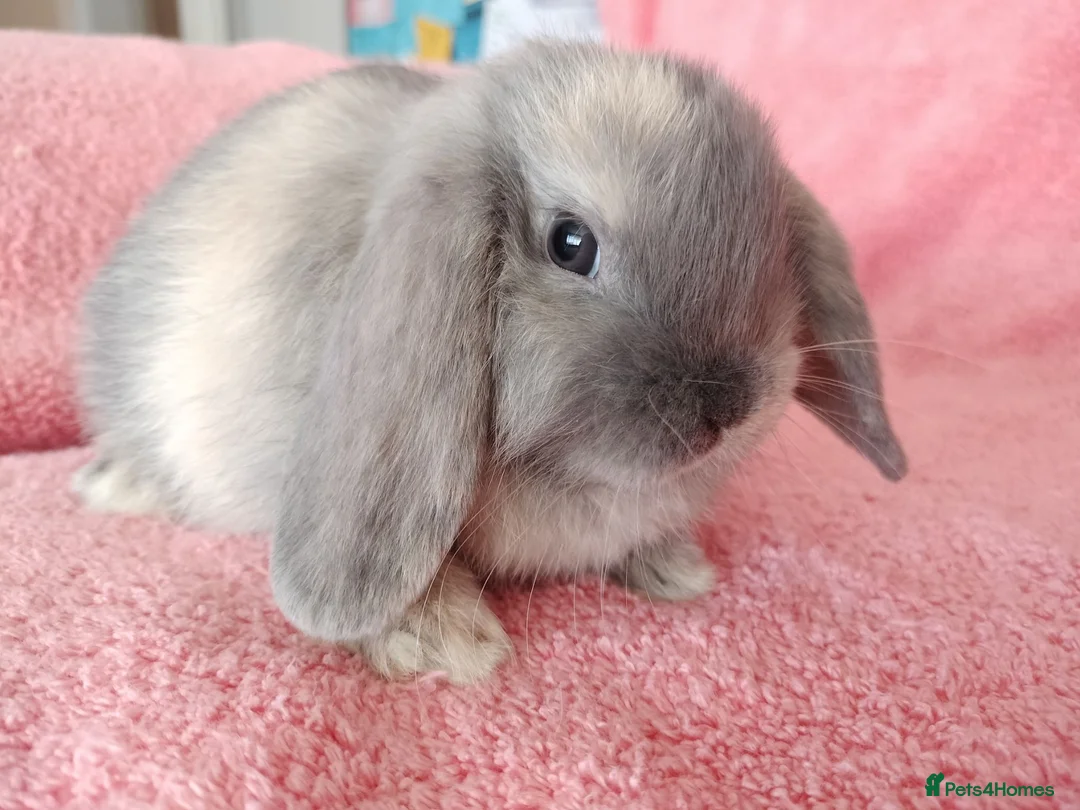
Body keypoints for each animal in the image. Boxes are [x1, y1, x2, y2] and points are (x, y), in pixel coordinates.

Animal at [74, 40, 907, 685]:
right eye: (570, 244)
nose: (727, 407)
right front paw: (448, 644)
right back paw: (113, 487)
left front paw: (674, 569)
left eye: (770, 242)